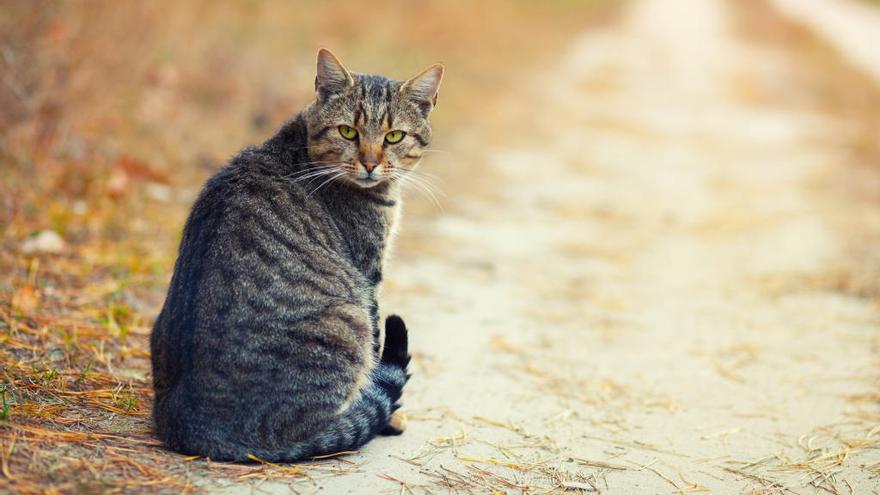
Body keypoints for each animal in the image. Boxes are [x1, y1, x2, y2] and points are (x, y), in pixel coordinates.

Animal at [150, 48, 444, 464]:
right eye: (348, 132)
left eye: (394, 136)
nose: (370, 163)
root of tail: (188, 420)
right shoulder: (368, 279)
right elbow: (376, 356)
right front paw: (387, 418)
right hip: (347, 318)